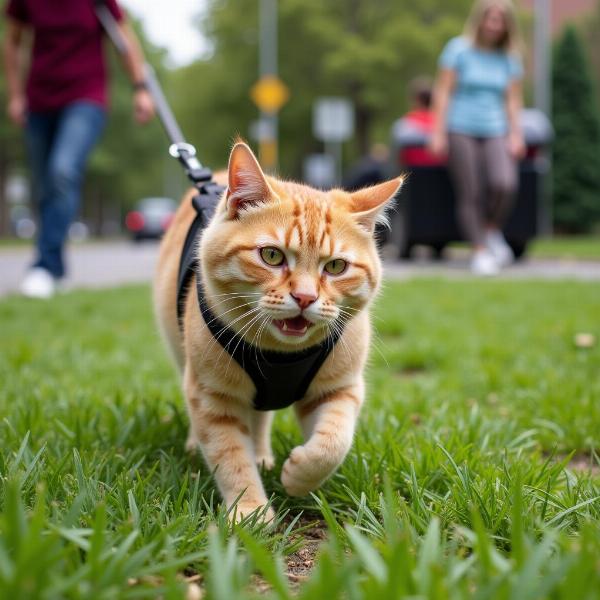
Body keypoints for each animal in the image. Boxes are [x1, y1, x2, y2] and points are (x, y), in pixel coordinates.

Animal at [155, 142, 404, 520]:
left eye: (336, 266)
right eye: (272, 256)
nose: (305, 297)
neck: (281, 356)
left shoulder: (340, 389)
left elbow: (333, 443)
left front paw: (298, 476)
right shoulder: (212, 398)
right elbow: (231, 458)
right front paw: (250, 513)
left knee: (260, 421)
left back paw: (263, 456)